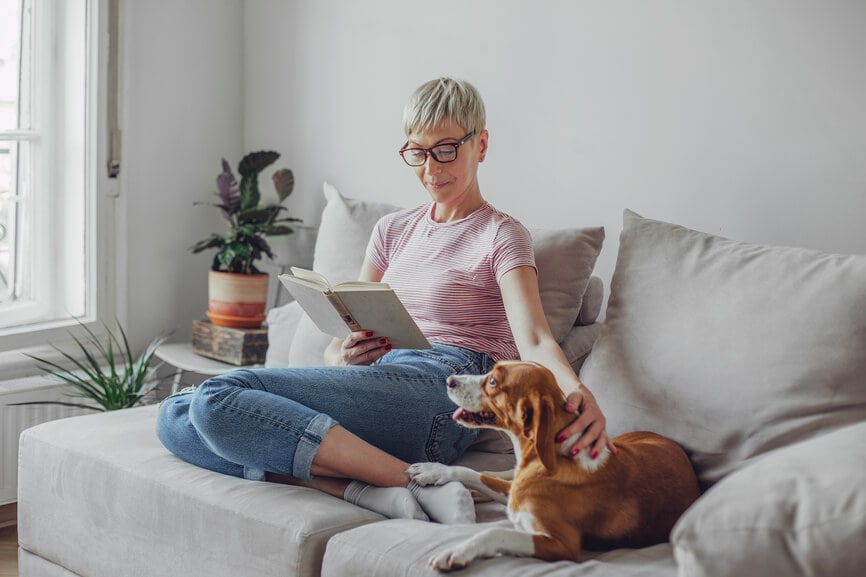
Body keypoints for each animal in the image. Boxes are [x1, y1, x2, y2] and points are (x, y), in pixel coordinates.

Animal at [408, 362, 700, 568]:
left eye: (492, 380)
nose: (449, 380)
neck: (550, 457)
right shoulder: (513, 494)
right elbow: (472, 472)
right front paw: (434, 470)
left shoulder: (562, 545)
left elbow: (494, 533)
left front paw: (458, 550)